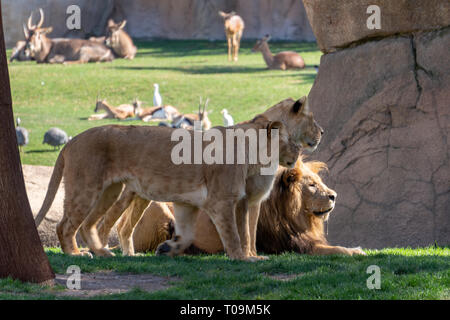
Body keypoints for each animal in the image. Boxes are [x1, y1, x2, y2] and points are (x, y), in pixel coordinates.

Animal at [37, 98, 322, 262]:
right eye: (310, 120)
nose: (322, 132)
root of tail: (72, 140)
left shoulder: (193, 203)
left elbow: (192, 233)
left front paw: (168, 248)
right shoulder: (223, 200)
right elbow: (235, 234)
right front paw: (243, 258)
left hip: (110, 190)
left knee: (90, 225)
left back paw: (102, 252)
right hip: (87, 188)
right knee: (66, 225)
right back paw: (76, 253)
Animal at [117, 158, 366, 258]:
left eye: (319, 182)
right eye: (312, 185)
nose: (334, 196)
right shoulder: (292, 245)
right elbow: (336, 250)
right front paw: (357, 251)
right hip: (158, 208)